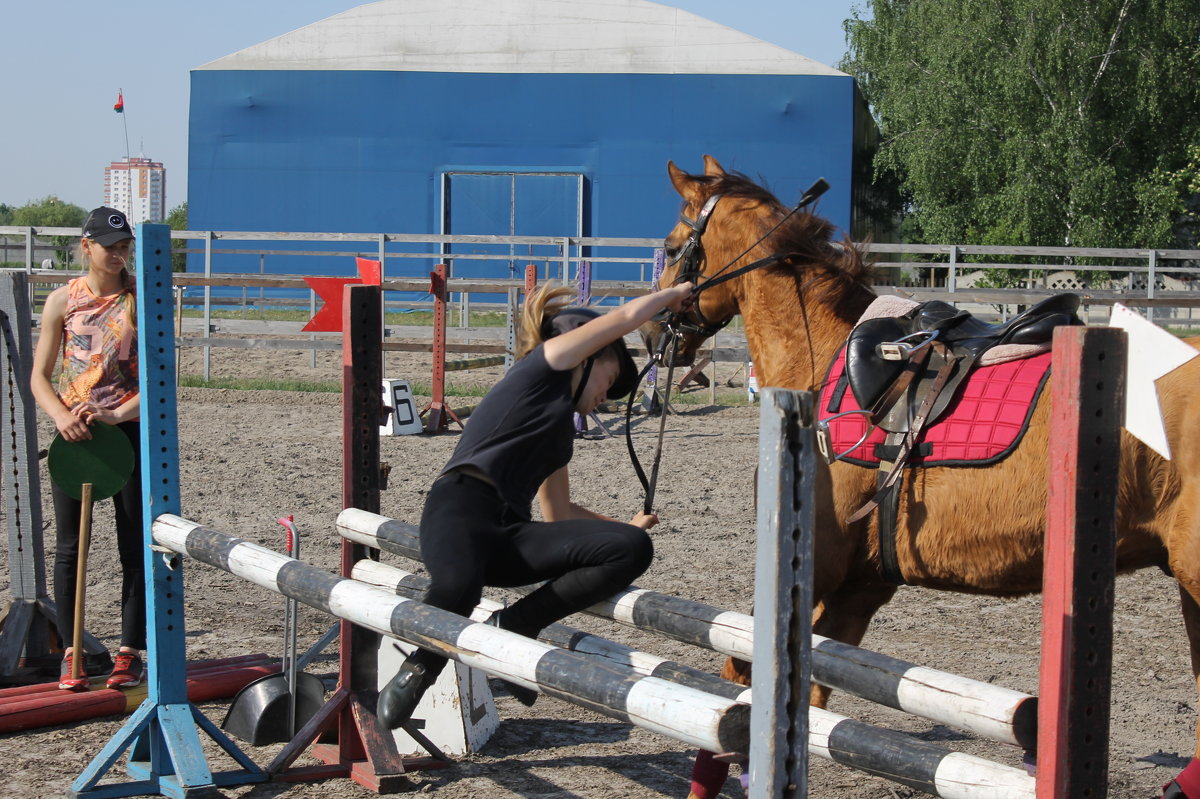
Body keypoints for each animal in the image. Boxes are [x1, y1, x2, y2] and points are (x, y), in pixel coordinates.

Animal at [652, 157, 1200, 796]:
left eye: (672, 247)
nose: (652, 333)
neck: (820, 354)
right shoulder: (860, 587)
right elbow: (810, 694)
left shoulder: (817, 565)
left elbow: (739, 674)